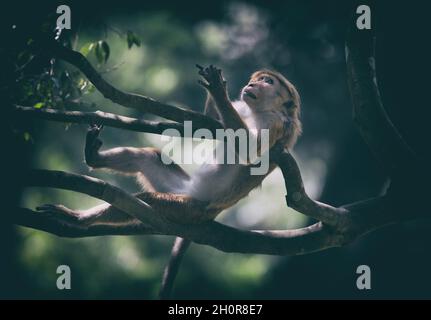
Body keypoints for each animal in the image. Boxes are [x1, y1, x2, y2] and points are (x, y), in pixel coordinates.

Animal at [37, 65, 302, 298]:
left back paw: (79, 218)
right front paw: (215, 90)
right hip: (173, 185)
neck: (258, 112)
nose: (252, 84)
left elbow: (248, 151)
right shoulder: (242, 108)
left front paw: (218, 89)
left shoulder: (275, 123)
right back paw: (93, 157)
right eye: (256, 80)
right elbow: (208, 123)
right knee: (148, 156)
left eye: (267, 81)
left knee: (147, 201)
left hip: (188, 209)